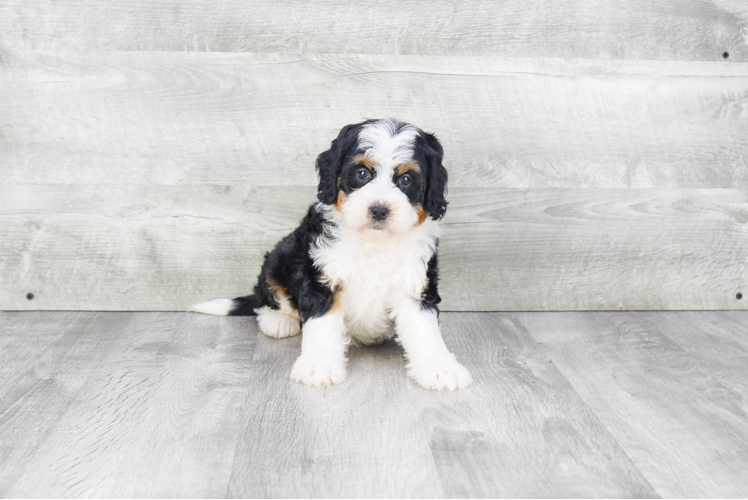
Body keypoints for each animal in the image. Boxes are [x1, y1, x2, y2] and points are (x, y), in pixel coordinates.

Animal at [193, 118, 474, 390]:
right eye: (362, 173)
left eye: (405, 180)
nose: (379, 210)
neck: (374, 242)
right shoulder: (322, 277)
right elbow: (322, 325)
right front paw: (318, 367)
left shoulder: (414, 281)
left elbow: (425, 330)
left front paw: (440, 369)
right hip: (280, 257)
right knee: (267, 296)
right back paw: (279, 321)